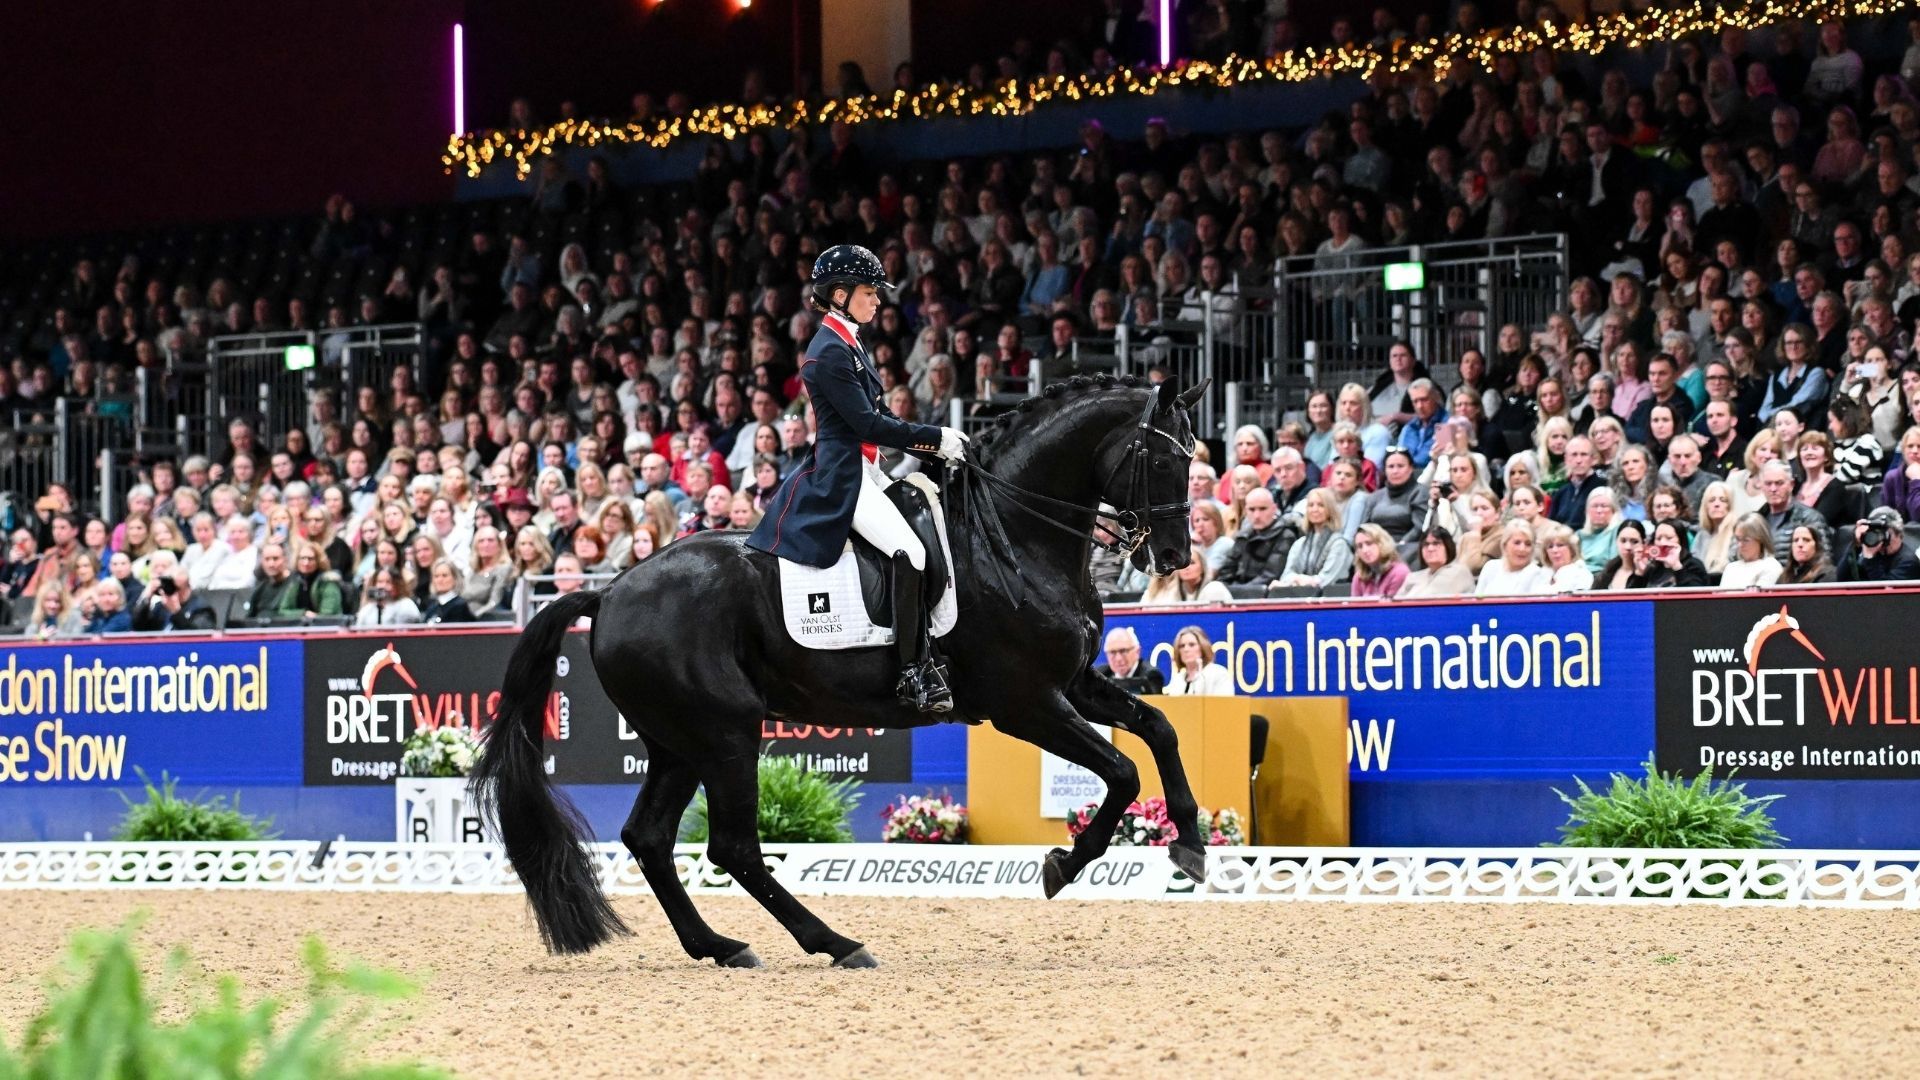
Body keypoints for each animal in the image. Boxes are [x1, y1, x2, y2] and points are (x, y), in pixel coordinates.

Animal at [473, 374, 1210, 967]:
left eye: (1196, 457)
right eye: (1161, 458)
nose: (1174, 558)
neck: (1011, 534)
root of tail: (612, 592)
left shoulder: (1074, 684)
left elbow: (1161, 729)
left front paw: (1191, 846)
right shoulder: (1025, 702)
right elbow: (1122, 771)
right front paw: (1064, 864)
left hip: (678, 742)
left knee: (649, 838)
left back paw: (719, 946)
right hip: (725, 733)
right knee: (732, 847)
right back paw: (834, 943)